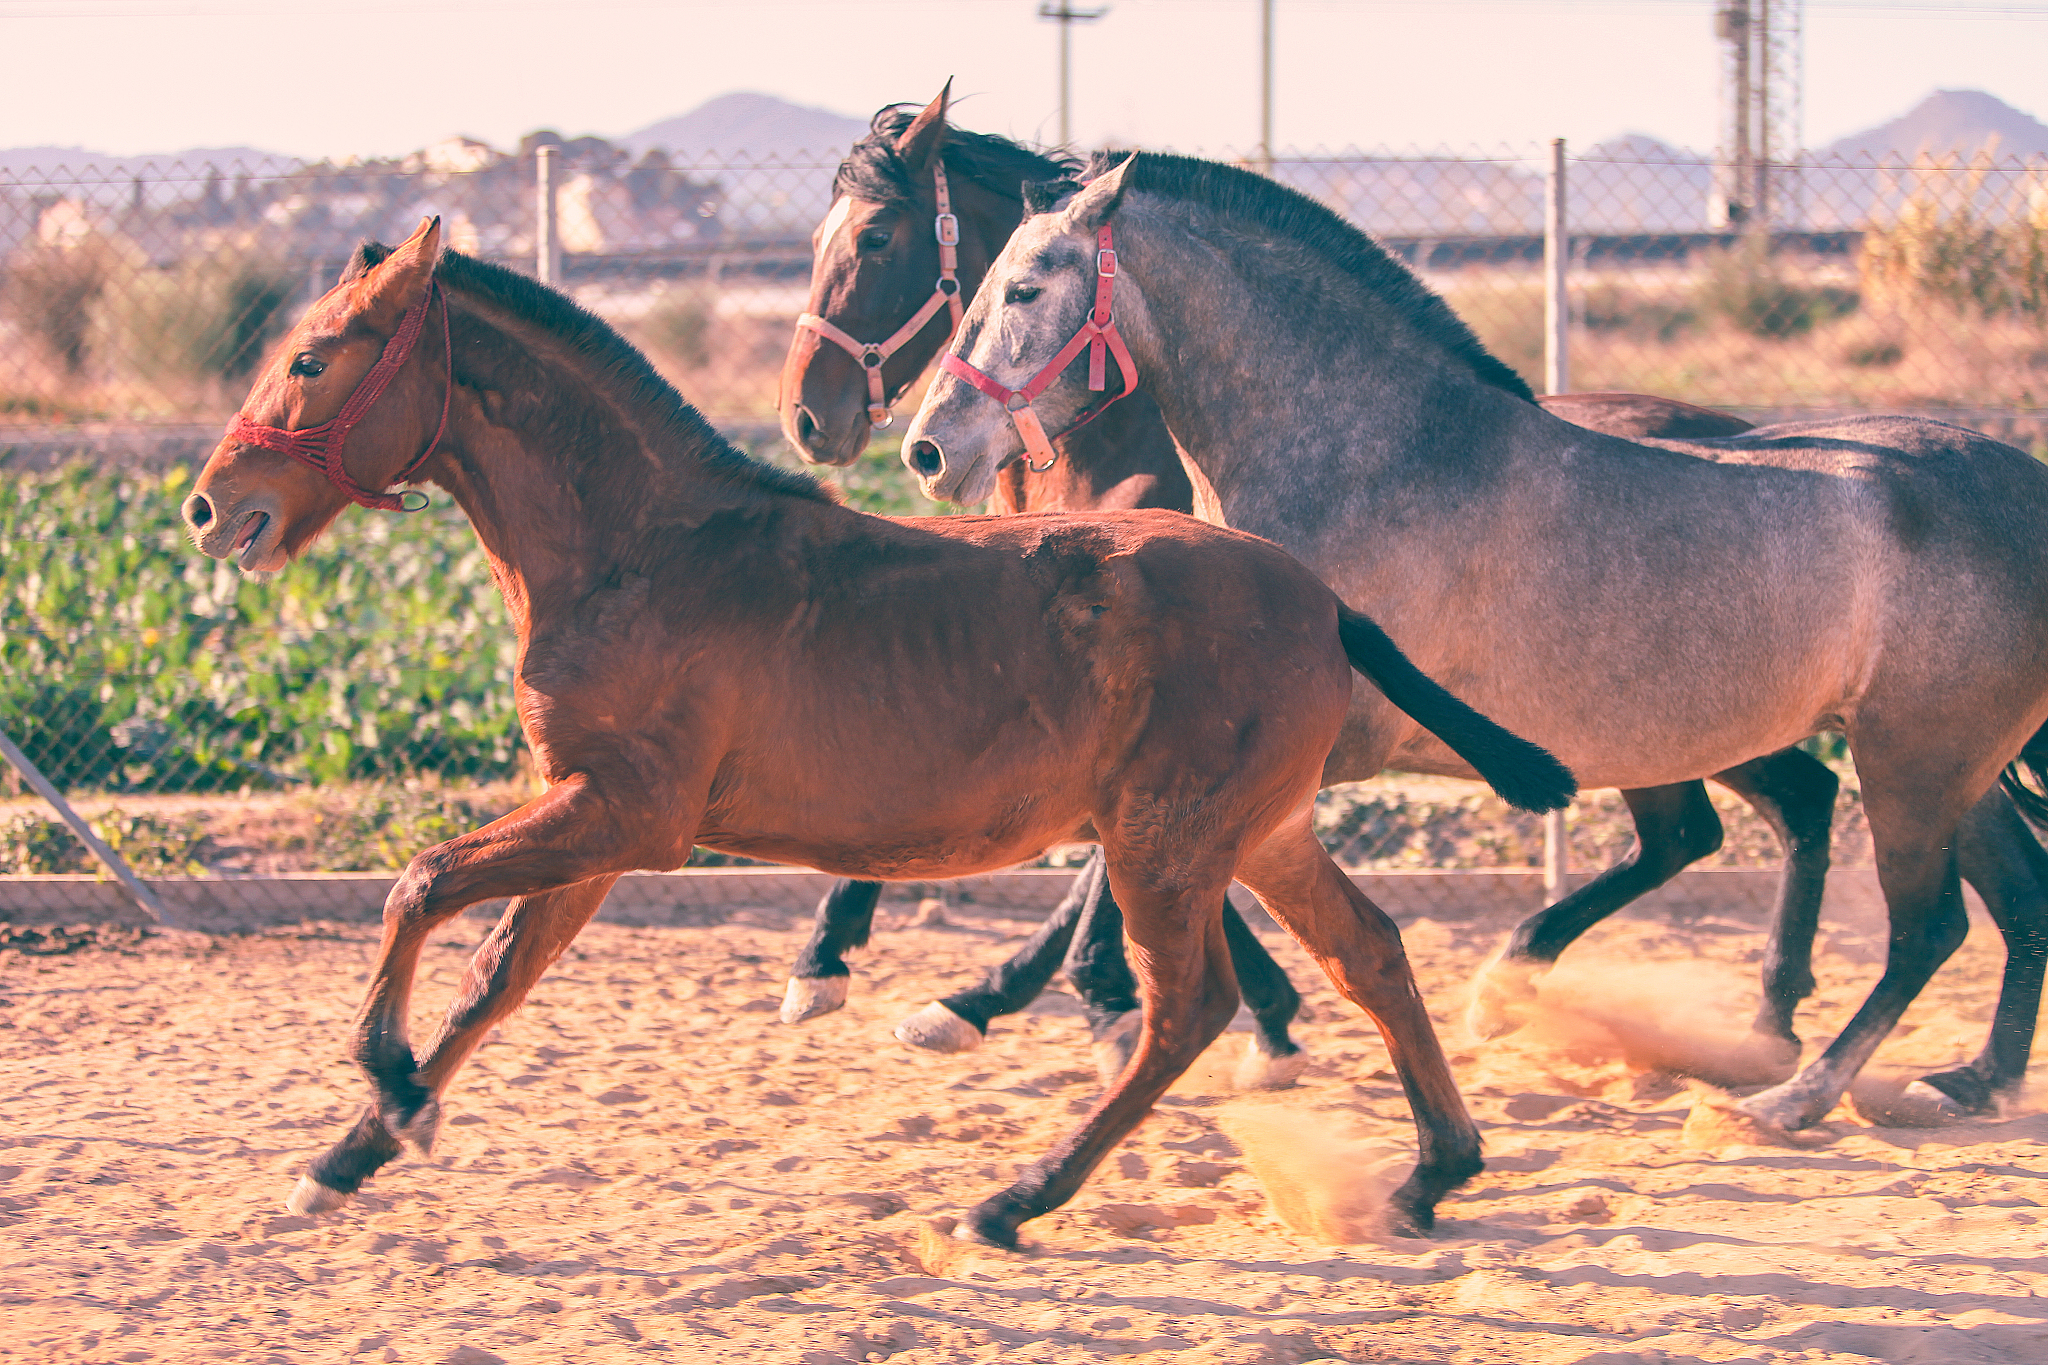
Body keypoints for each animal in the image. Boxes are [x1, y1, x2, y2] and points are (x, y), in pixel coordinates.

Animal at [178, 217, 1574, 1248]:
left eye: (313, 358)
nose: (205, 505)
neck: (642, 550)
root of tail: (1317, 597)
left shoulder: (628, 815)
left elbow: (417, 886)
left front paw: (388, 1086)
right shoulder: (593, 823)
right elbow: (493, 979)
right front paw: (353, 1151)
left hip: (1164, 843)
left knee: (1188, 1010)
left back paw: (1015, 1199)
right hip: (1263, 832)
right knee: (1369, 952)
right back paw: (1433, 1172)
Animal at [776, 88, 1866, 1105]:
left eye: (876, 238)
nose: (824, 423)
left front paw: (1032, 1000)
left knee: (1737, 819)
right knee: (1752, 813)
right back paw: (1746, 1018)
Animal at [905, 151, 2048, 1135]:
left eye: (1023, 290)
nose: (926, 448)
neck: (1374, 459)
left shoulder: (1292, 747)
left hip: (1909, 763)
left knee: (1925, 924)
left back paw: (1786, 1096)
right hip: (1934, 765)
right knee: (2002, 887)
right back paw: (1961, 1080)